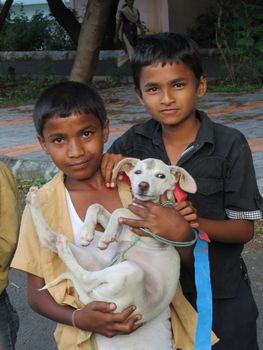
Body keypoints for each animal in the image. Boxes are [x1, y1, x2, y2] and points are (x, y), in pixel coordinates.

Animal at [26, 158, 197, 322]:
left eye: (161, 176)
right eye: (137, 172)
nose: (143, 185)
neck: (145, 205)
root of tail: (94, 300)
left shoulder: (149, 223)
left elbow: (120, 210)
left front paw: (106, 236)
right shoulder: (122, 229)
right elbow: (97, 206)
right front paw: (87, 232)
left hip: (130, 271)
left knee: (86, 279)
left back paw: (62, 246)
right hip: (102, 266)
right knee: (48, 239)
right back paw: (33, 199)